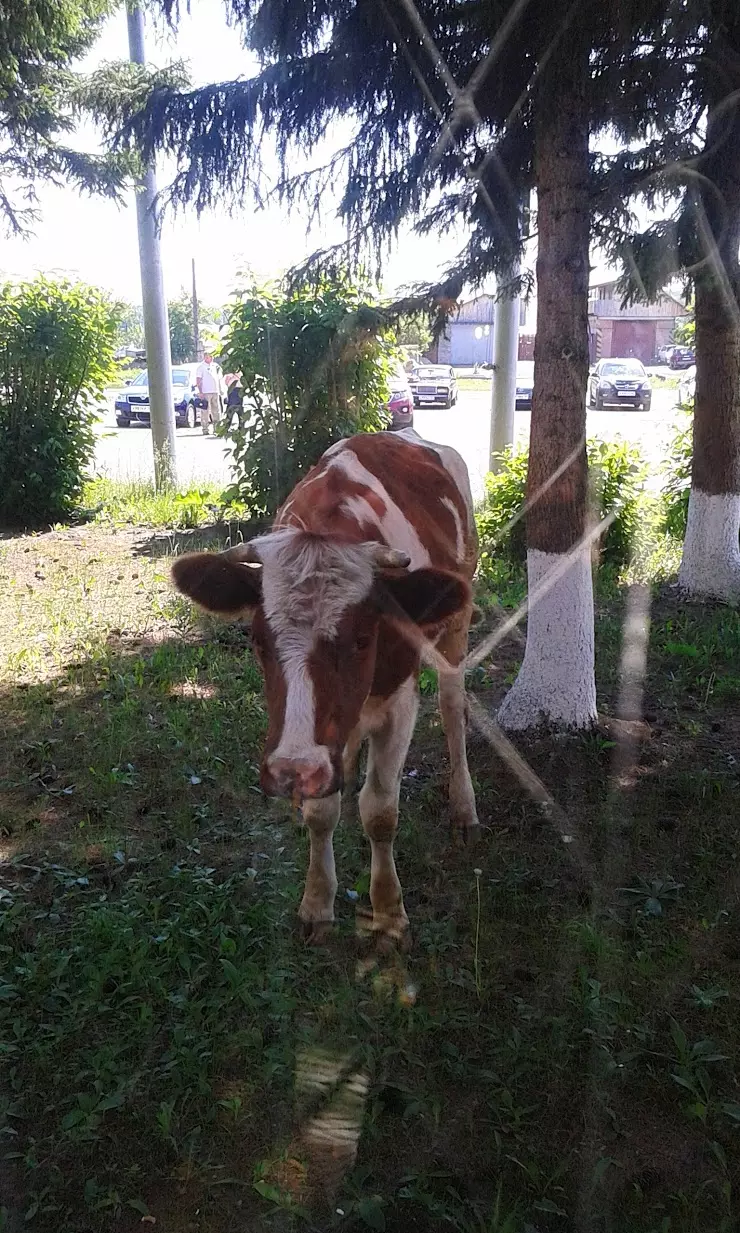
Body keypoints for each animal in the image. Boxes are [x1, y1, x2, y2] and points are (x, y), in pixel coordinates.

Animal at [170, 429, 476, 937]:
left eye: (362, 639)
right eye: (257, 639)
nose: (297, 768)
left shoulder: (400, 703)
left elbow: (381, 810)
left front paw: (387, 910)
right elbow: (321, 813)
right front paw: (317, 900)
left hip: (456, 627)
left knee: (453, 707)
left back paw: (464, 805)